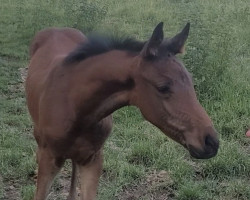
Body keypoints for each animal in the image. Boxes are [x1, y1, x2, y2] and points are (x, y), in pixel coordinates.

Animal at [25, 22, 219, 200]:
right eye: (163, 87)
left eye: (191, 81)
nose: (211, 142)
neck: (76, 107)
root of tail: (57, 28)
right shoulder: (49, 159)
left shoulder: (93, 159)